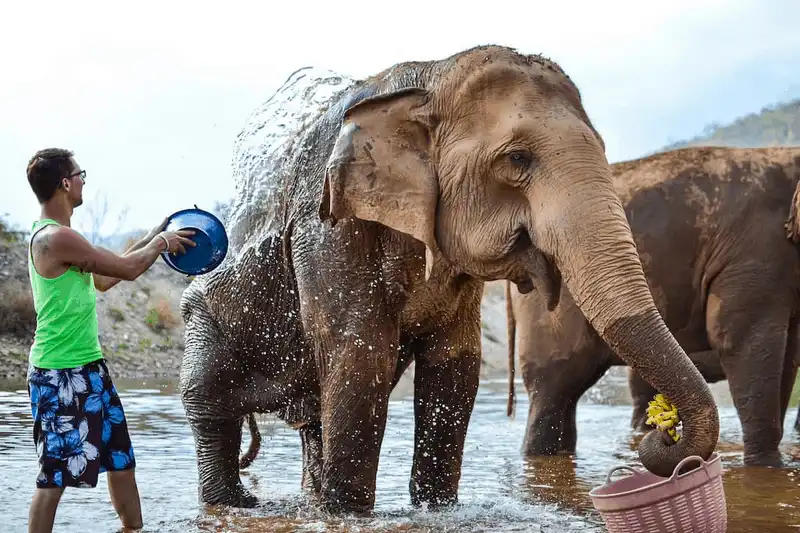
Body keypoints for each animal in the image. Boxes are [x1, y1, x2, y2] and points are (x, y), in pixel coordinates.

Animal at [178, 44, 719, 515]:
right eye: (517, 159)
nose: (663, 436)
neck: (429, 76)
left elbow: (456, 364)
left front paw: (436, 509)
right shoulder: (328, 226)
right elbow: (360, 355)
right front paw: (348, 514)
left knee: (312, 424)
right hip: (204, 324)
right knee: (208, 405)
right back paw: (237, 504)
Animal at [505, 144, 800, 467]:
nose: (667, 436)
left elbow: (788, 355)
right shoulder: (753, 252)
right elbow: (740, 340)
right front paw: (766, 468)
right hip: (546, 308)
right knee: (553, 389)